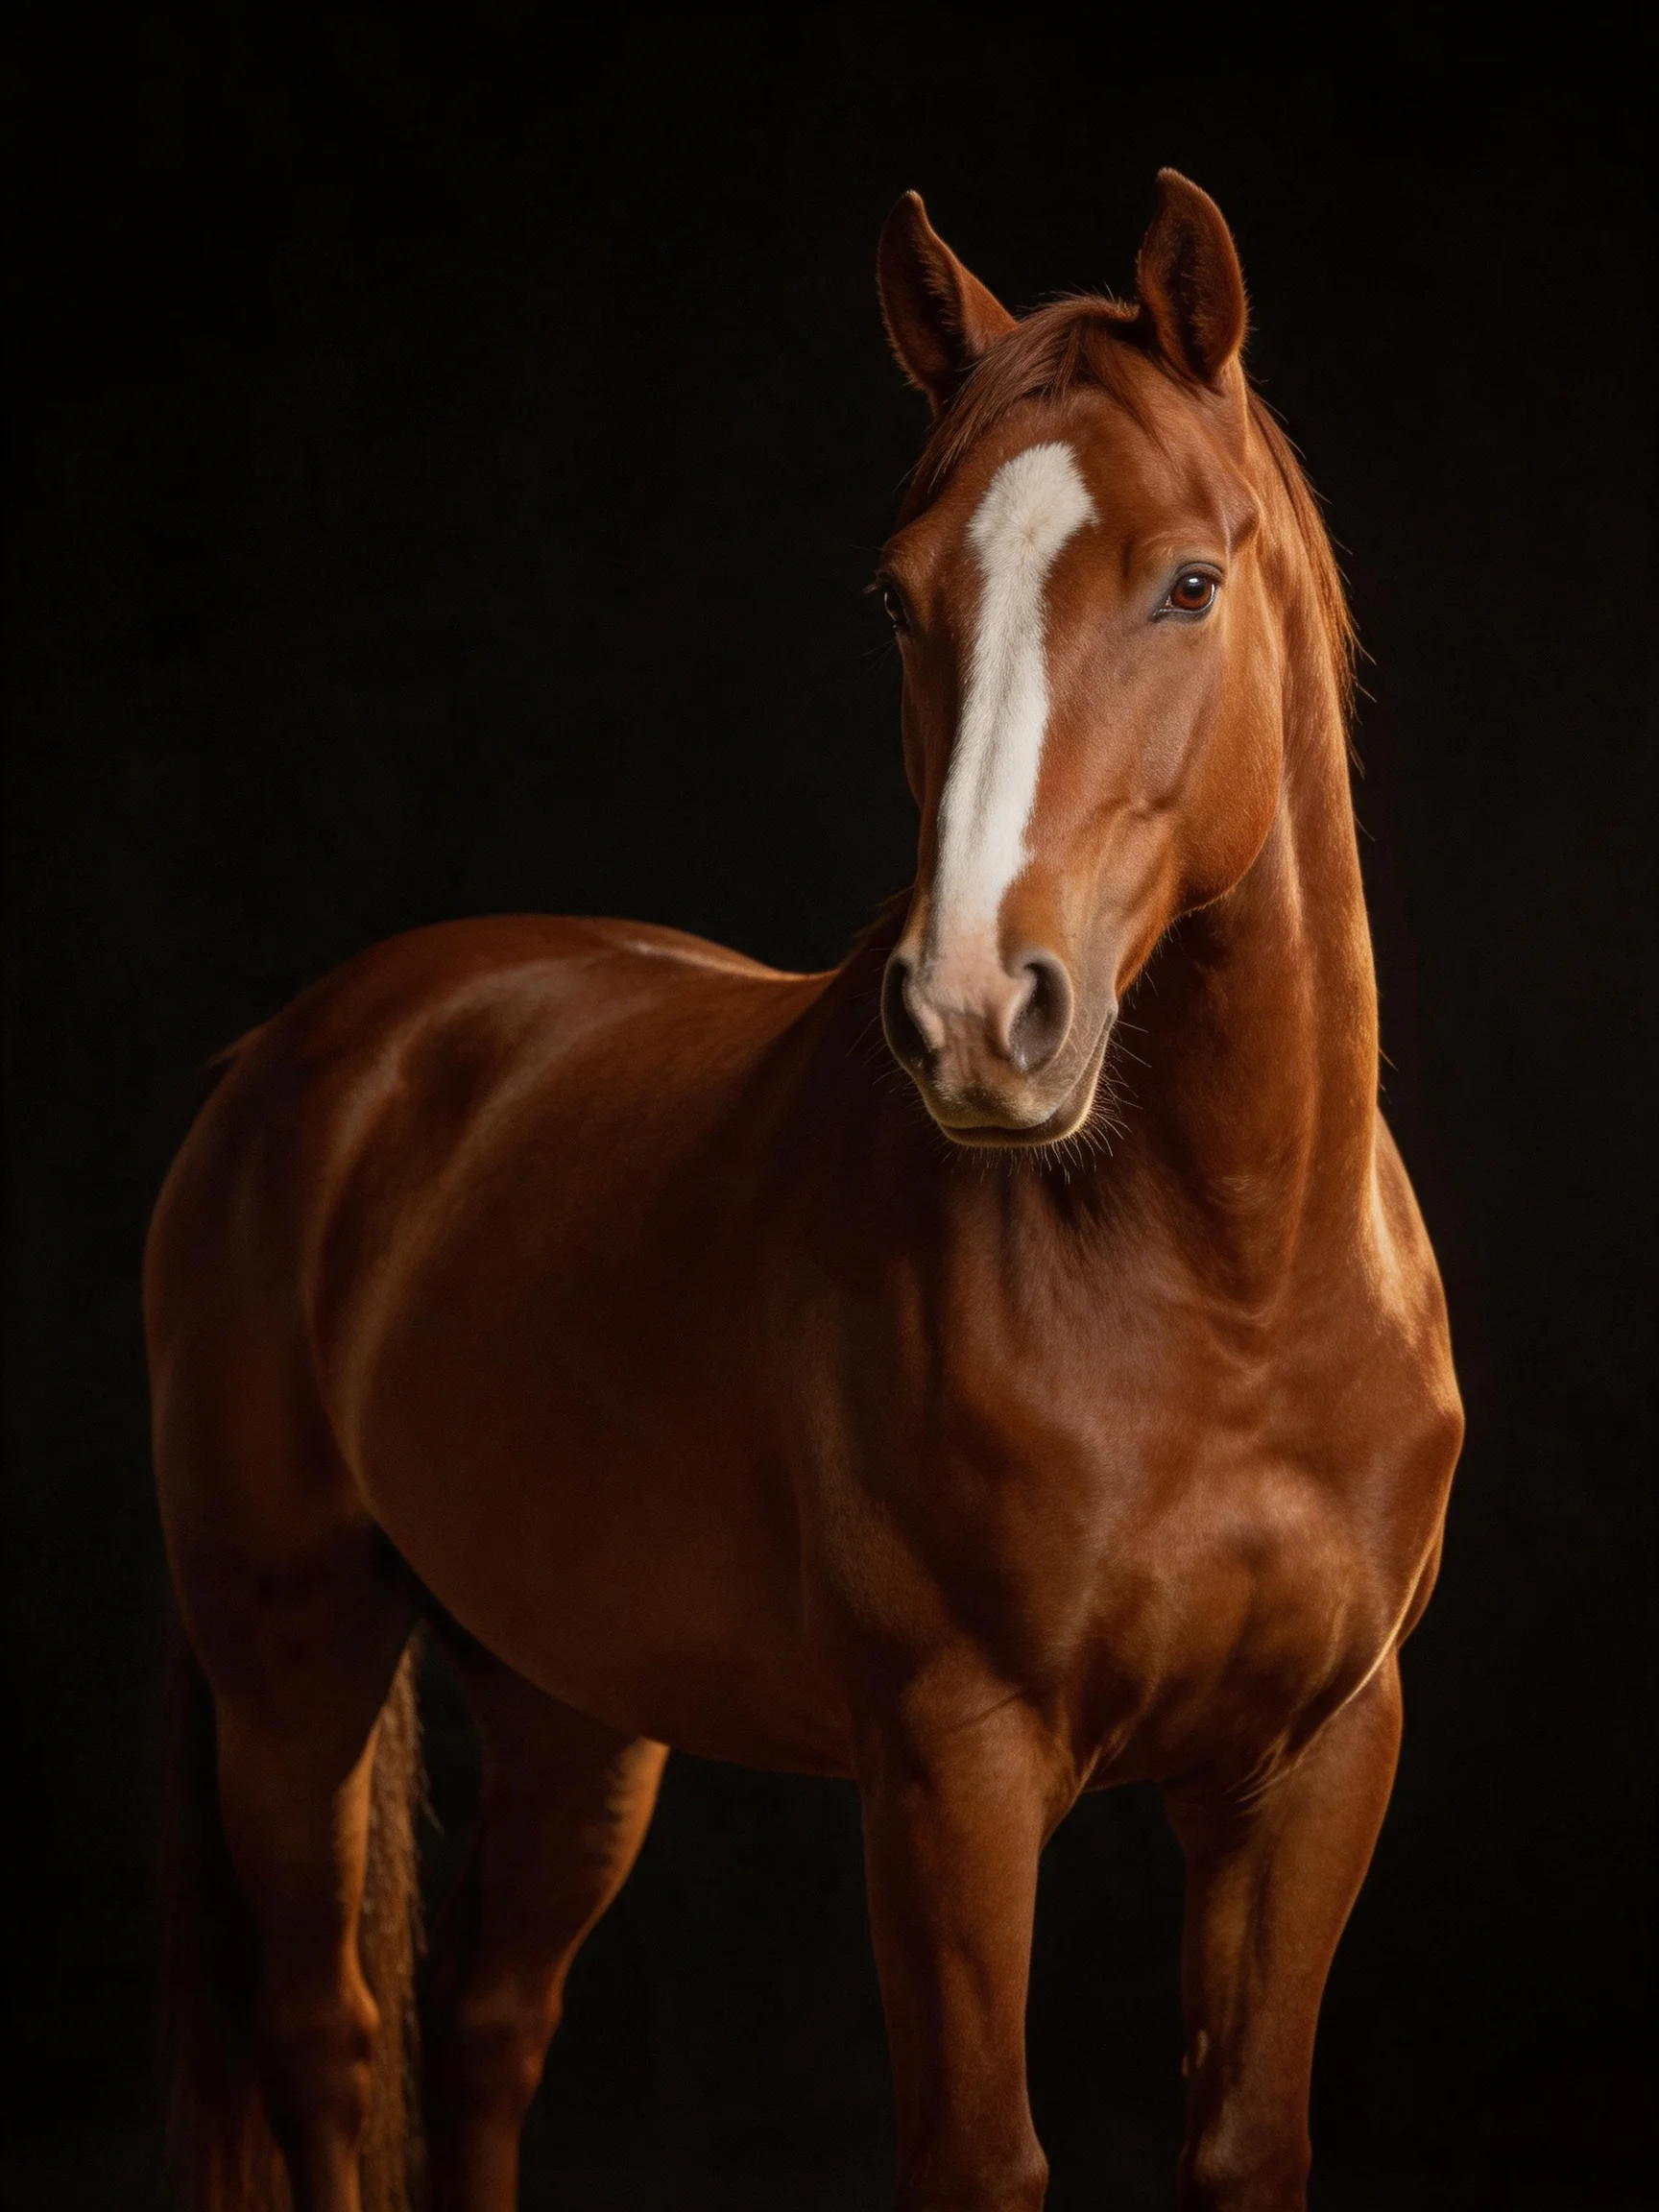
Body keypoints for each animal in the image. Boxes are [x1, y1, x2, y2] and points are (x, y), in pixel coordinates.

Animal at [147, 170, 1461, 2212]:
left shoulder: (1314, 1761)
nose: (976, 1014)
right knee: (326, 2044)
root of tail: (301, 1050)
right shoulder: (950, 1762)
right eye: (900, 595)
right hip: (292, 1663)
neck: (1231, 1288)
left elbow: (1247, 2137)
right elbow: (979, 2150)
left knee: (485, 2032)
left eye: (1188, 581)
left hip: (569, 1699)